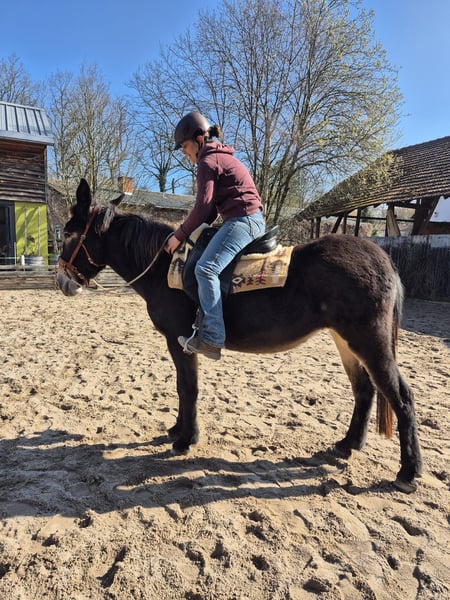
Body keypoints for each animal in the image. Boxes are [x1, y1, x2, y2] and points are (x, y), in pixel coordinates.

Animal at [56, 178, 422, 493]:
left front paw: (186, 440)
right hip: (345, 341)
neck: (164, 268)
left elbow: (188, 388)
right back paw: (348, 445)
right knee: (364, 390)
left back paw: (408, 472)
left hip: (370, 342)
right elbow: (181, 387)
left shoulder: (181, 341)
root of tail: (383, 260)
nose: (62, 282)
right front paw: (177, 429)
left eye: (67, 233)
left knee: (401, 397)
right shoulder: (176, 343)